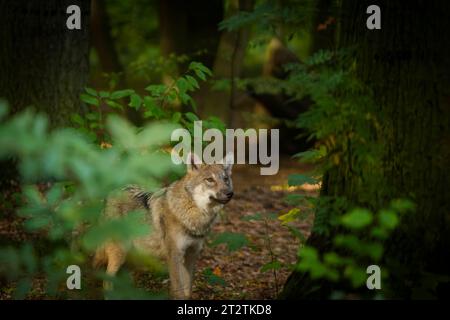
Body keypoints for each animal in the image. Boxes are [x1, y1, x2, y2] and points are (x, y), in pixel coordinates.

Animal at [91, 152, 232, 298]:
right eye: (210, 180)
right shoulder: (174, 256)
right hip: (120, 252)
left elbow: (187, 290)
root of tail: (111, 193)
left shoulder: (191, 255)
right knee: (106, 280)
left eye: (226, 179)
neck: (194, 214)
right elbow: (179, 291)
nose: (230, 193)